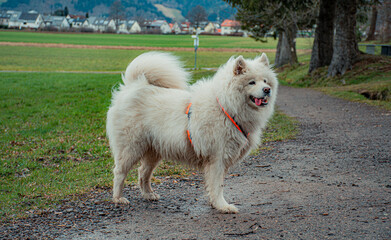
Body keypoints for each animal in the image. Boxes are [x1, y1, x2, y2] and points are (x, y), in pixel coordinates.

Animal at [107, 52, 278, 214]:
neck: (226, 108)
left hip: (154, 151)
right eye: (252, 82)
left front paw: (215, 203)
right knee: (120, 172)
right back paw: (118, 198)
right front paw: (223, 206)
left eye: (265, 81)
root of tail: (134, 86)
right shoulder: (217, 158)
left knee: (143, 172)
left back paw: (148, 194)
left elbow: (217, 185)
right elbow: (217, 186)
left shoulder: (223, 159)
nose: (267, 90)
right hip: (131, 148)